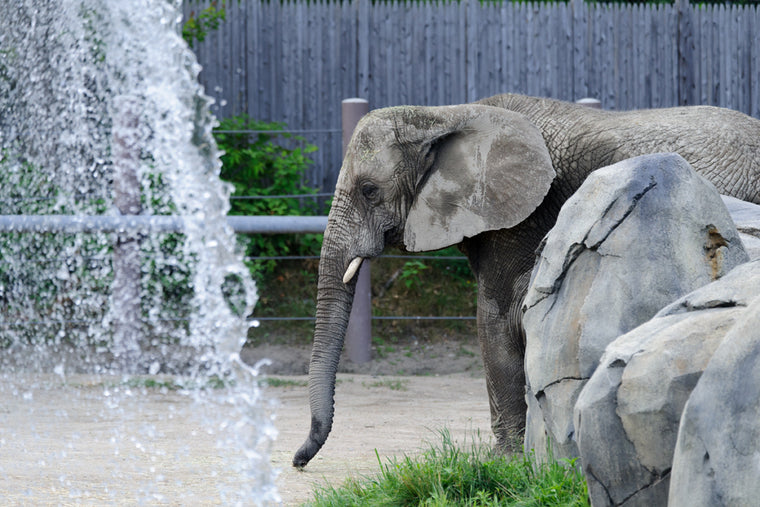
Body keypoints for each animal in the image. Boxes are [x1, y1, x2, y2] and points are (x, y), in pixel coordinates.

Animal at [294, 92, 760, 468]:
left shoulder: (519, 214)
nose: (299, 461)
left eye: (369, 191)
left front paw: (506, 461)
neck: (445, 114)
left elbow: (495, 321)